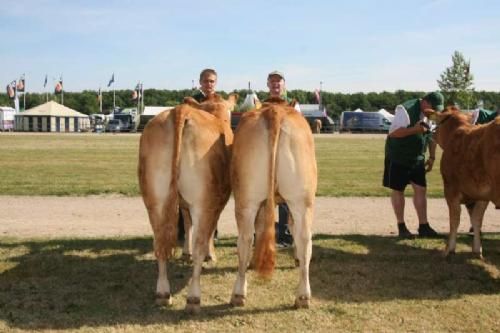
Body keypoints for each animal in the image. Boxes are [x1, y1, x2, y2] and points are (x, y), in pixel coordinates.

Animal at [138, 92, 237, 312]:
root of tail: (180, 110)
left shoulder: (183, 202)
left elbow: (187, 221)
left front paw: (185, 253)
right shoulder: (216, 201)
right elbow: (210, 229)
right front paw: (210, 254)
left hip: (154, 200)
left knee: (159, 243)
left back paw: (163, 294)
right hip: (202, 201)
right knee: (199, 242)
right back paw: (193, 298)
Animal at [229, 98, 316, 308]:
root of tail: (274, 111)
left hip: (247, 200)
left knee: (245, 240)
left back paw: (239, 293)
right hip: (302, 202)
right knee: (304, 239)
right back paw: (303, 296)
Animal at [434, 106, 500, 256]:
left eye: (438, 123)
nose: (433, 135)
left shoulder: (450, 189)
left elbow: (454, 219)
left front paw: (449, 249)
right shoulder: (482, 195)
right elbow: (476, 219)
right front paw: (477, 250)